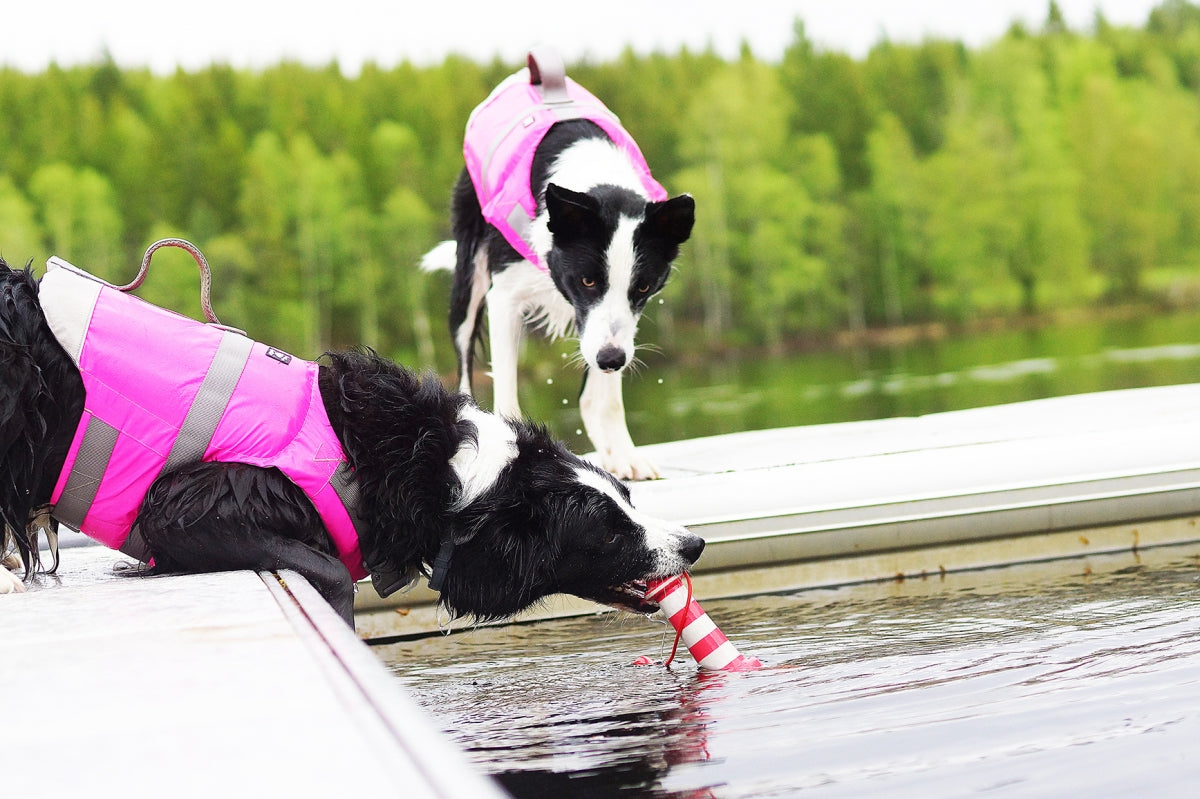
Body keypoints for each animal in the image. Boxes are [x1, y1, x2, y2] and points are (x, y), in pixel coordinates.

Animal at [0, 256, 700, 623]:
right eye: (605, 530)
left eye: (627, 501)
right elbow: (332, 574)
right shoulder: (188, 502)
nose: (692, 544)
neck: (436, 472)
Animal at [427, 49, 700, 479]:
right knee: (466, 368)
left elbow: (606, 398)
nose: (612, 360)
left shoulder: (618, 325)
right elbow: (506, 393)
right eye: (587, 281)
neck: (596, 178)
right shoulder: (505, 297)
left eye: (642, 287)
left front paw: (624, 456)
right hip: (468, 279)